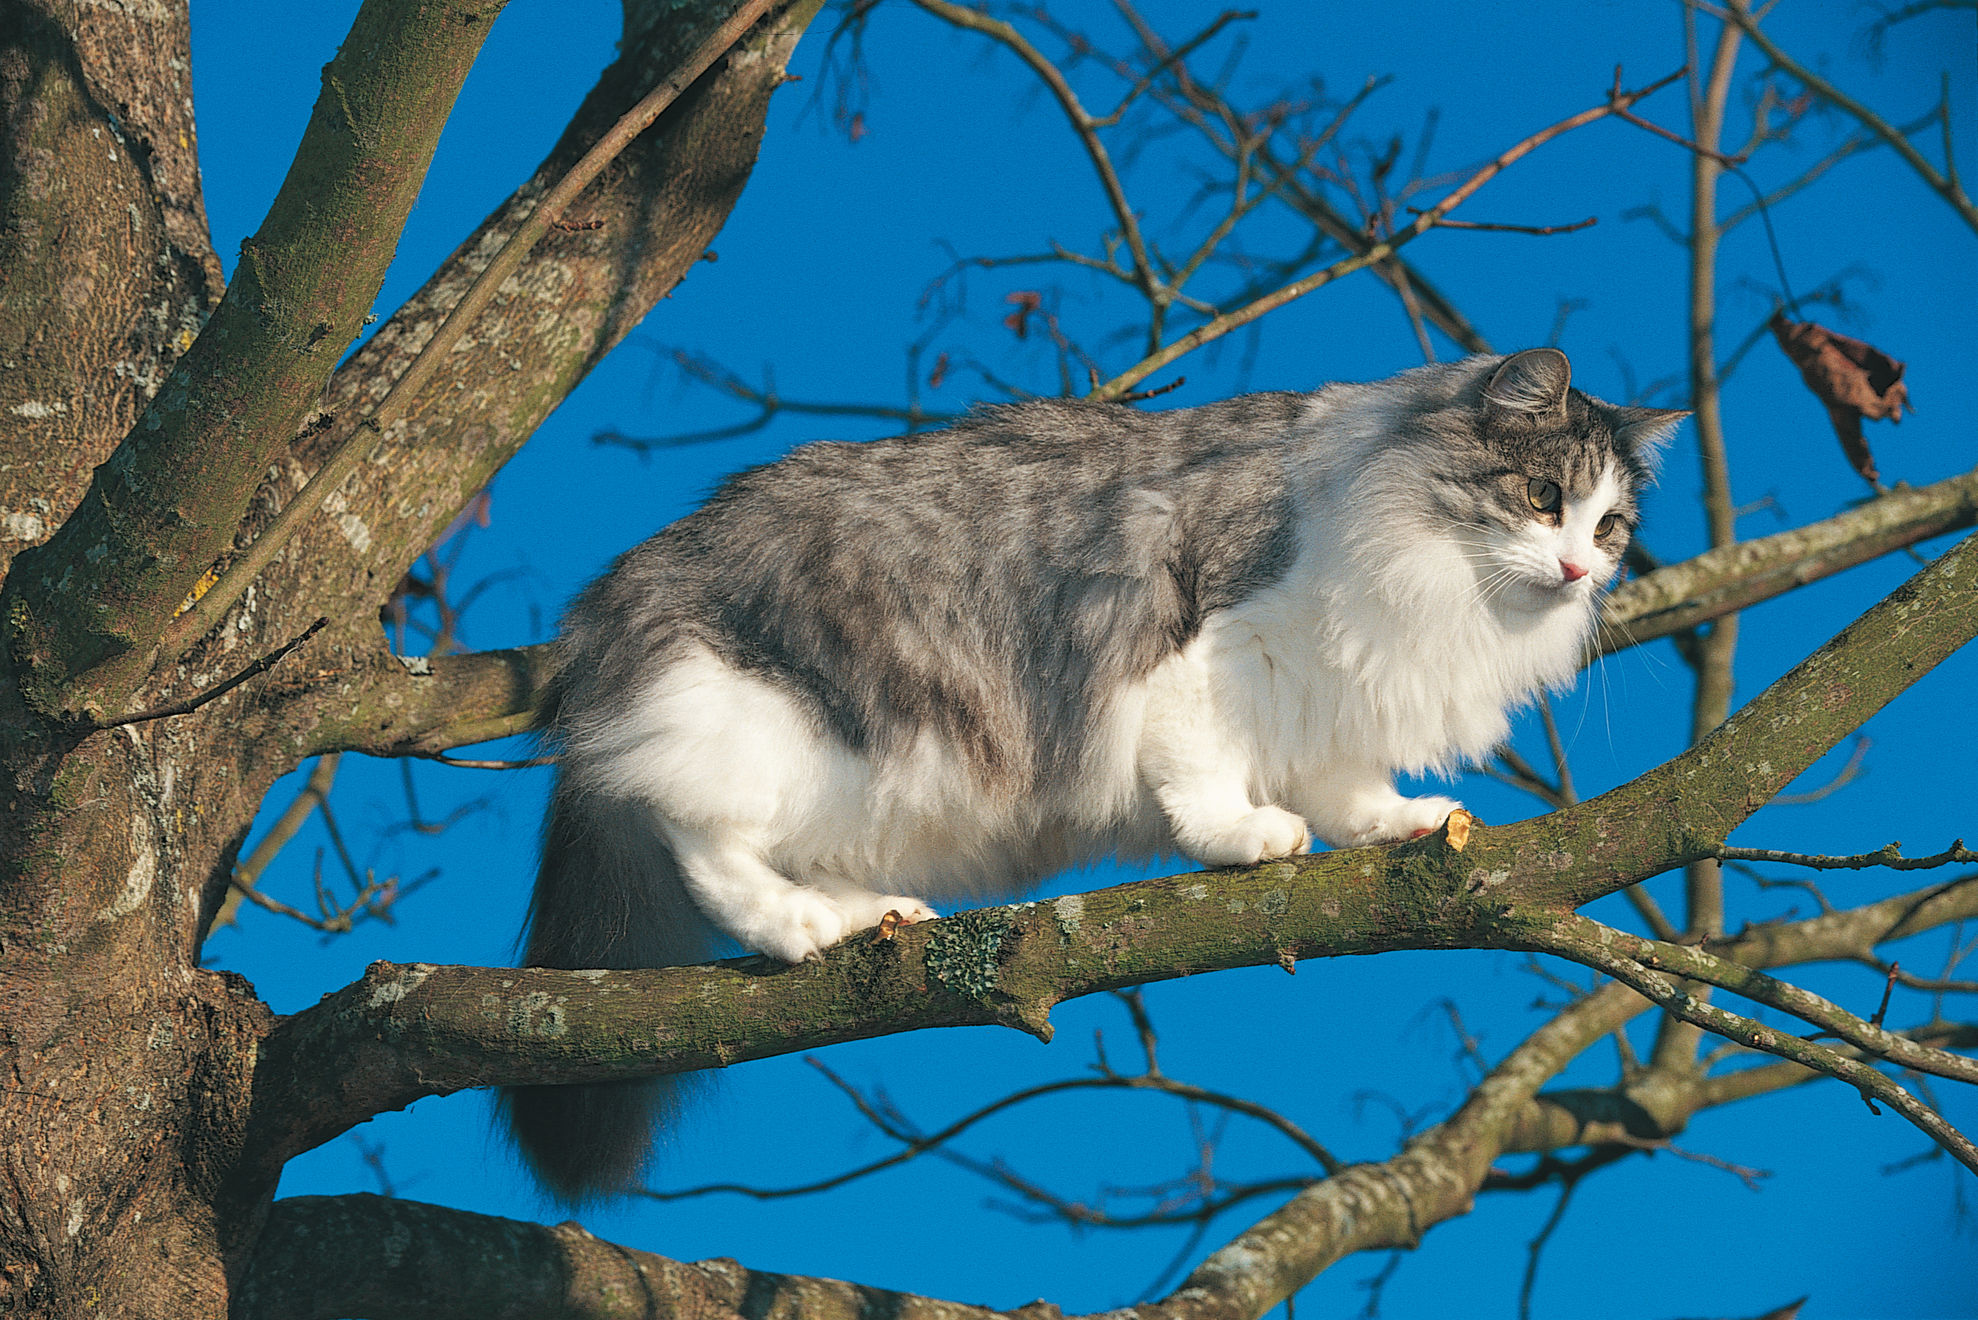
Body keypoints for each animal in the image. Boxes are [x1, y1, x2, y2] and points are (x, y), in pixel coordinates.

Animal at [498, 348, 1685, 1195]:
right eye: (1541, 497)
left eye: (1610, 527)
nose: (1578, 569)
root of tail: (619, 593)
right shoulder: (1219, 649)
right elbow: (1205, 769)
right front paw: (1241, 836)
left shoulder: (1332, 705)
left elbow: (1347, 790)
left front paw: (1400, 823)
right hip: (774, 723)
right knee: (696, 834)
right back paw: (798, 925)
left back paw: (871, 915)